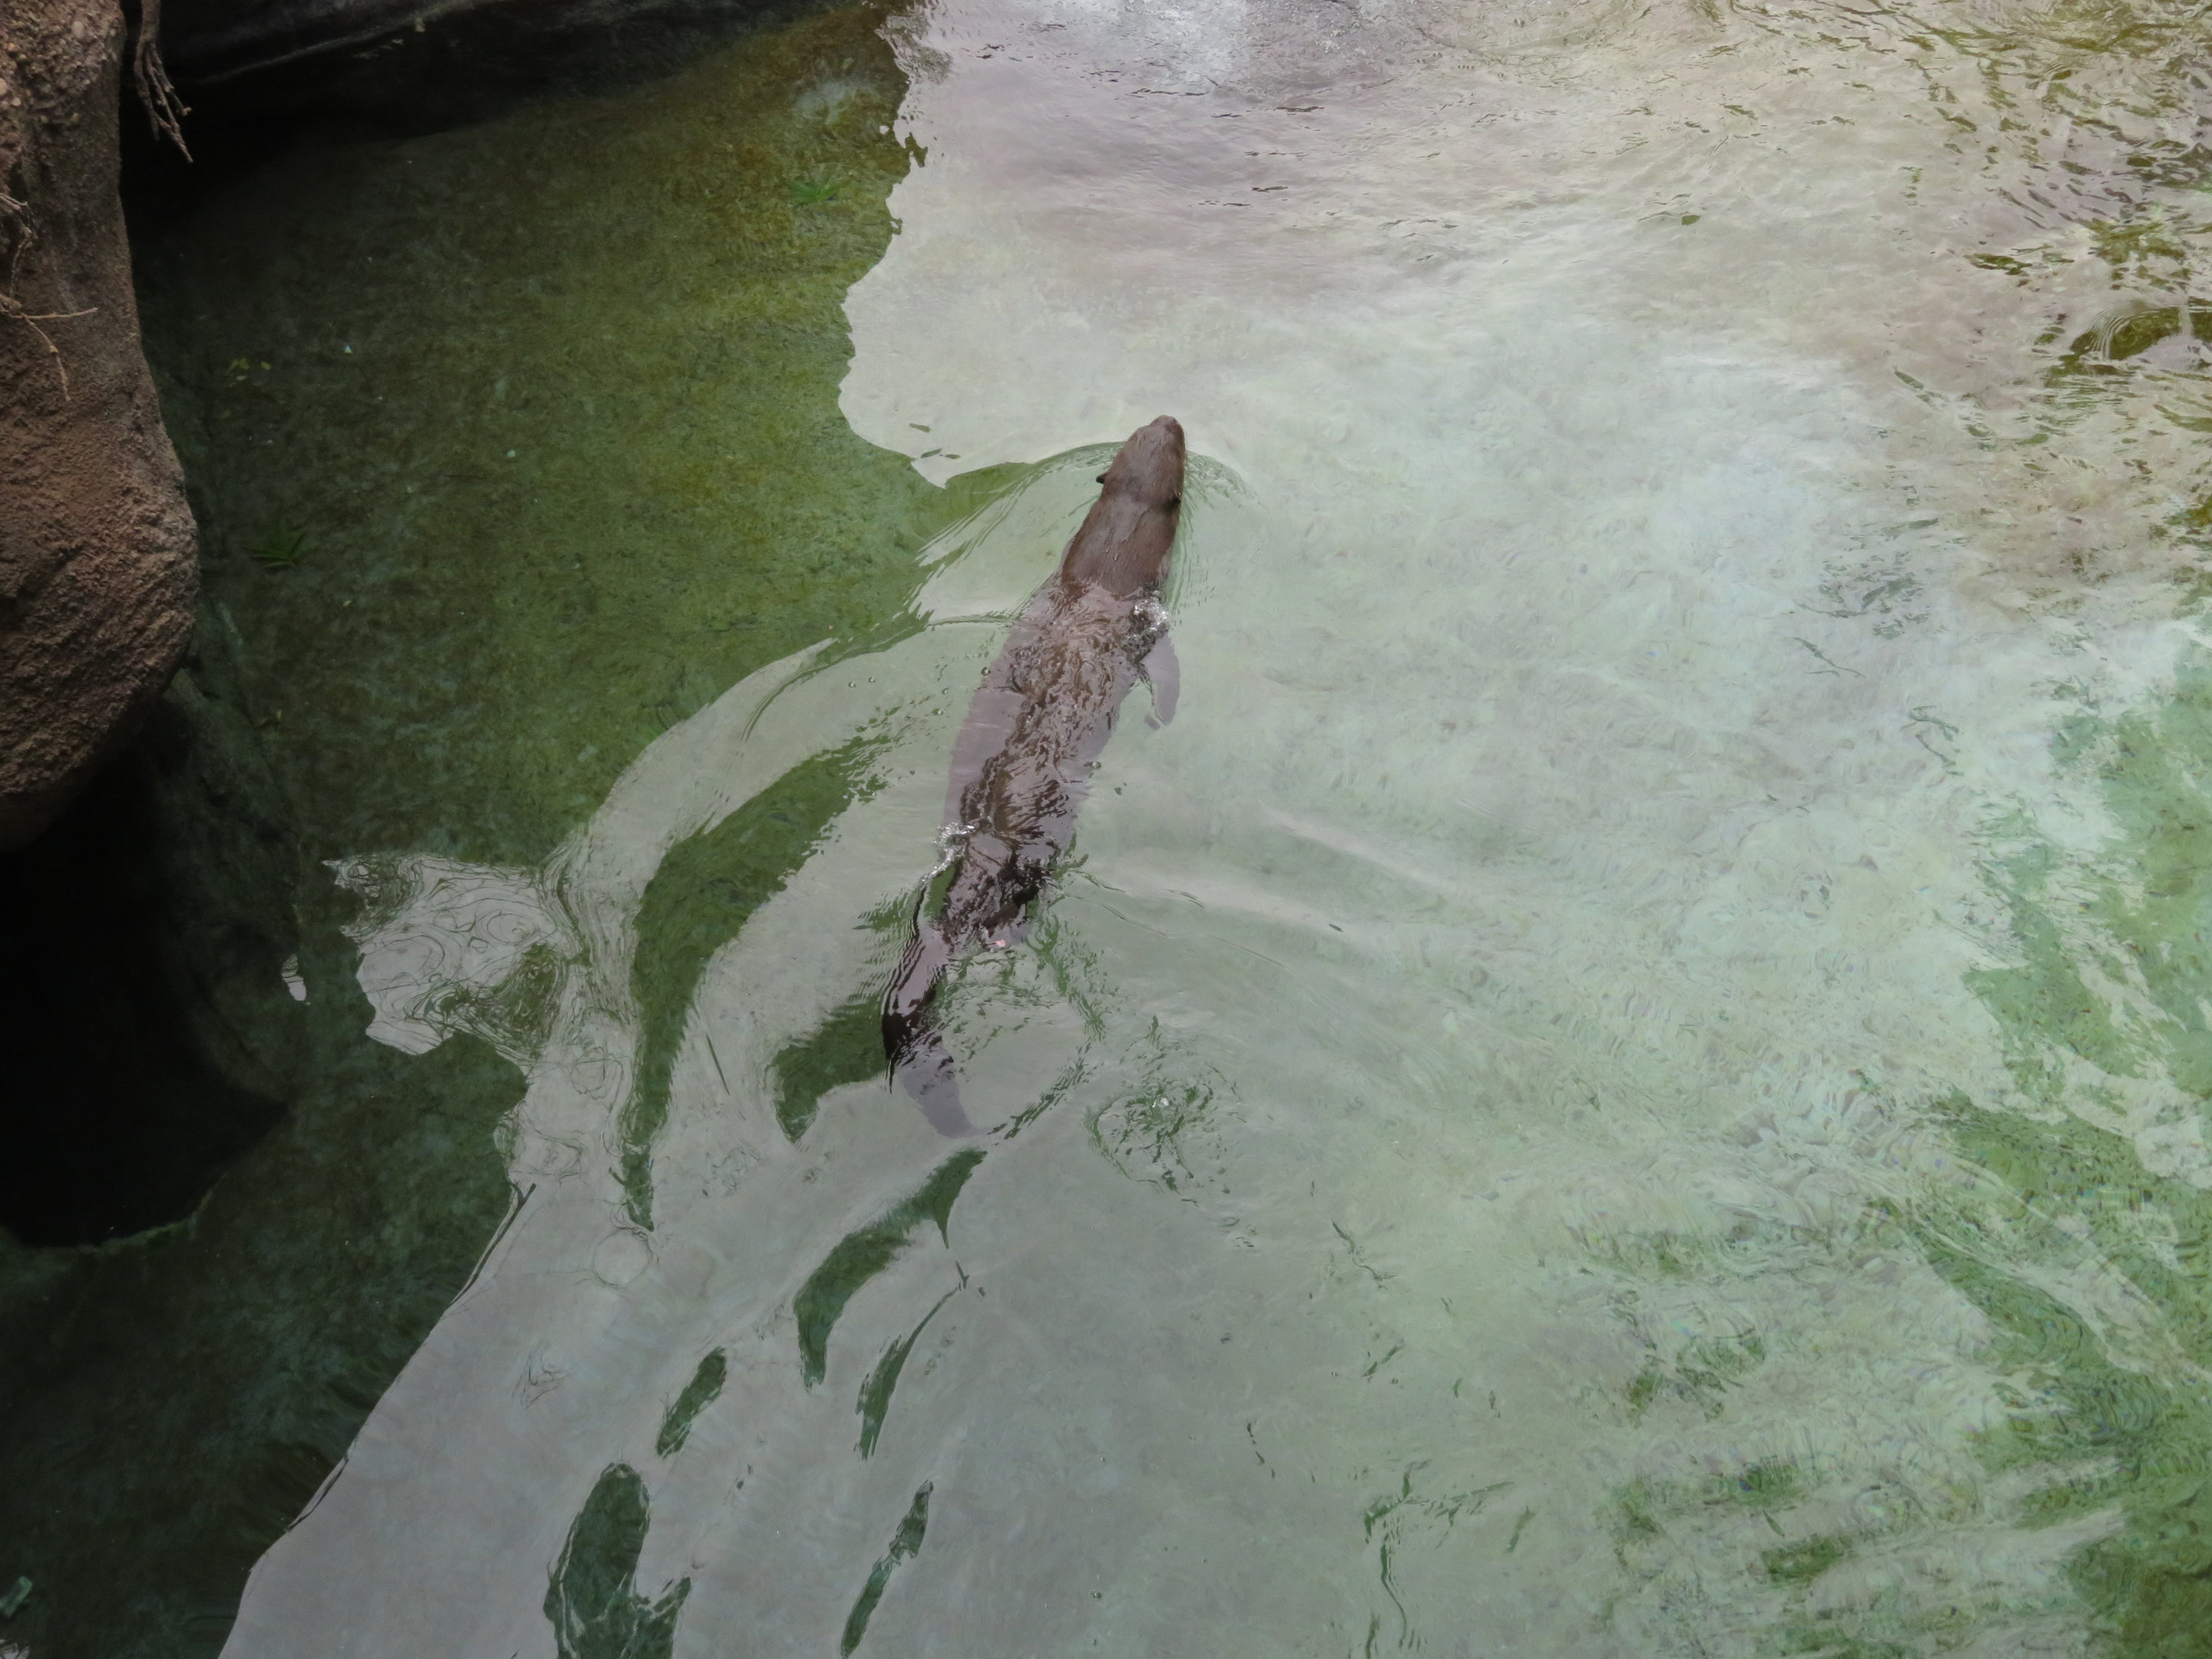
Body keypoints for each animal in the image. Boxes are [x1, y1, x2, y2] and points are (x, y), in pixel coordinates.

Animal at [883, 416, 1187, 1134]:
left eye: (1148, 432)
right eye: (1182, 450)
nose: (1172, 419)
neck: (1104, 568)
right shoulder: (1151, 622)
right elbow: (1168, 678)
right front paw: (1162, 716)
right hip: (1040, 848)